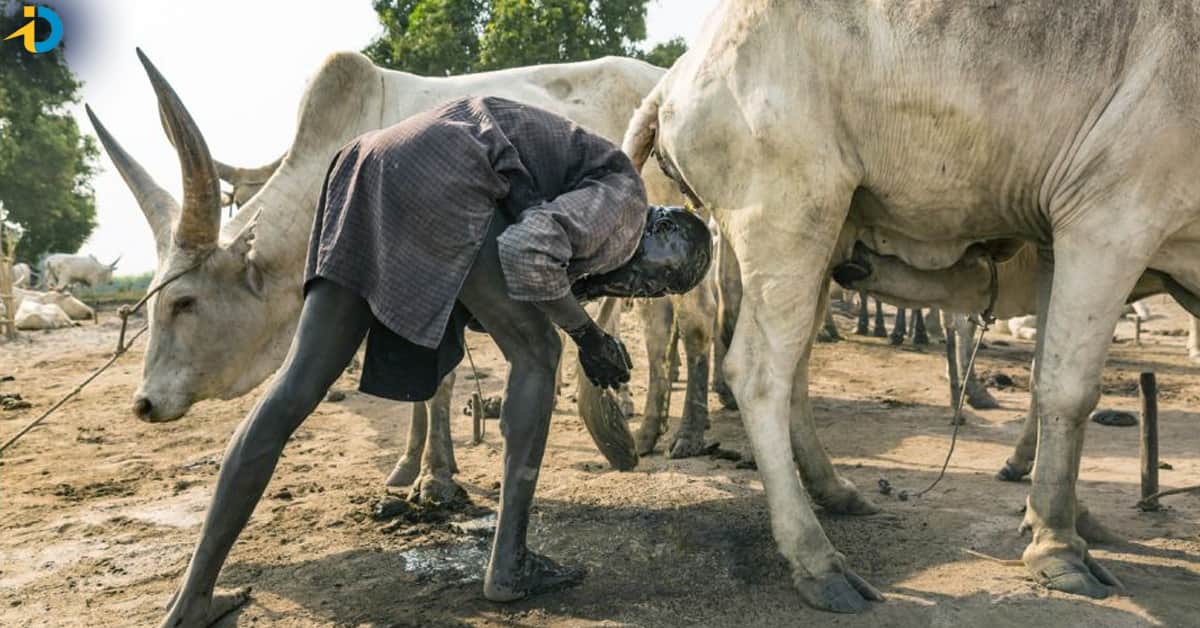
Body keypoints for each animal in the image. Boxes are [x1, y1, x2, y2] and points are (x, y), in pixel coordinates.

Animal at [623, 0, 1200, 611]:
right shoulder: (1110, 220)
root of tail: (675, 78)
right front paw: (1058, 547)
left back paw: (836, 492)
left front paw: (1062, 517)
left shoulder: (1054, 243)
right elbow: (1070, 391)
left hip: (823, 236)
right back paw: (817, 559)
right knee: (759, 374)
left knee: (793, 369)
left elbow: (1045, 378)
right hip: (787, 213)